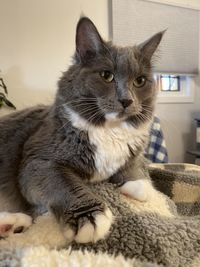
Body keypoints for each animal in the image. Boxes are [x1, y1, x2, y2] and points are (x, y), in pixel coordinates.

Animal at [0, 16, 163, 243]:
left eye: (140, 81)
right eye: (106, 75)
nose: (127, 100)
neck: (109, 131)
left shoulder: (132, 152)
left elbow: (135, 166)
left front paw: (139, 186)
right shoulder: (38, 161)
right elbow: (64, 182)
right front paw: (90, 216)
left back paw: (13, 225)